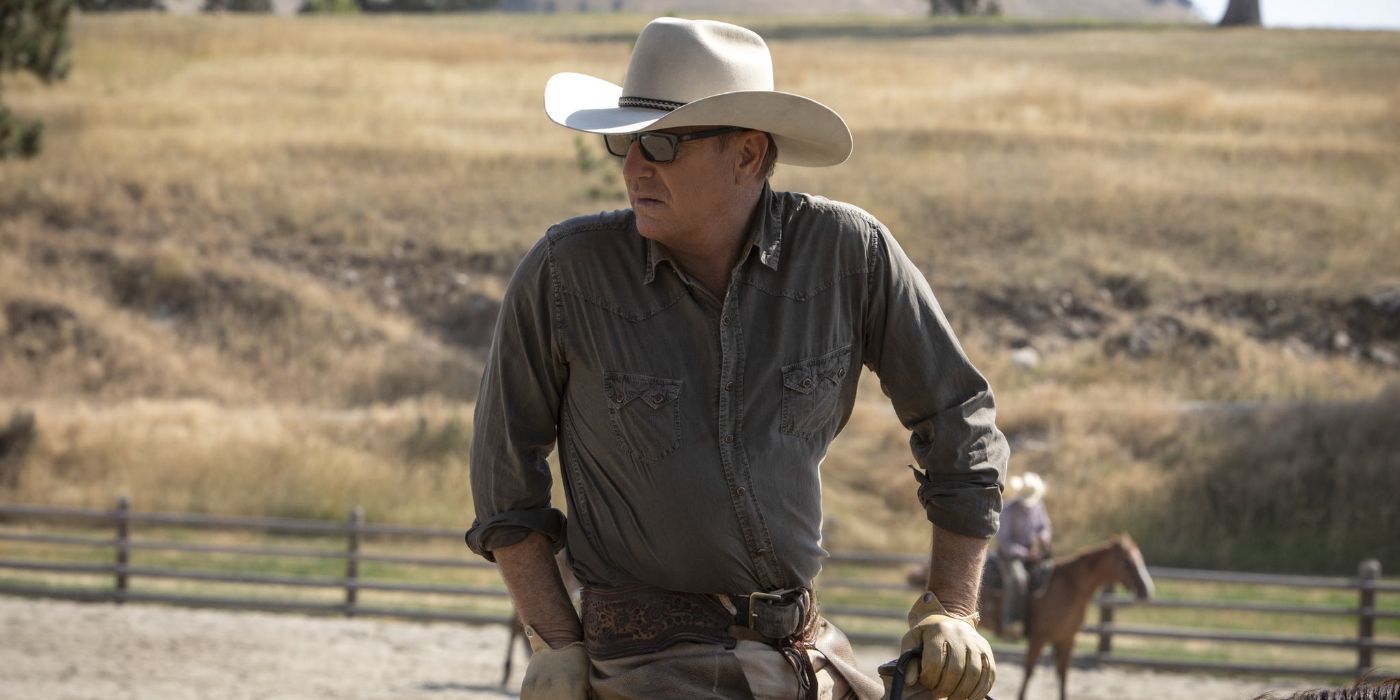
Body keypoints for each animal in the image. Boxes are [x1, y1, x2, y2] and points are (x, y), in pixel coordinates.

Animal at [980, 532, 1153, 697]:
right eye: (1127, 562)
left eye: (1141, 558)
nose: (1147, 590)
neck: (1069, 587)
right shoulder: (1039, 638)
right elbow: (1029, 670)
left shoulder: (1067, 639)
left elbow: (1063, 674)